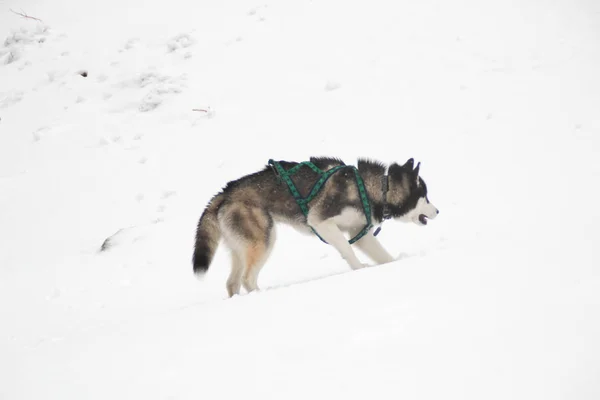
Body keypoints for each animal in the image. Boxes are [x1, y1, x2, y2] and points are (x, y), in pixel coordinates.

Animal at [195, 157, 438, 296]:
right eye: (425, 196)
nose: (438, 211)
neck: (377, 188)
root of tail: (225, 192)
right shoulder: (321, 222)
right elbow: (346, 249)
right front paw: (359, 269)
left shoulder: (359, 232)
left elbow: (383, 256)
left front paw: (393, 263)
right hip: (264, 240)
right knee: (247, 279)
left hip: (241, 247)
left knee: (232, 283)